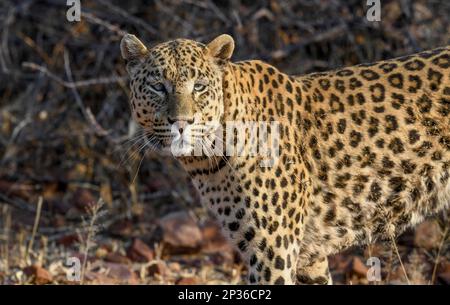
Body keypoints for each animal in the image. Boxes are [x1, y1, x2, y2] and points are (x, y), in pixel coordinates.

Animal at [119, 33, 450, 282]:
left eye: (198, 86)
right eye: (157, 87)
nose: (181, 122)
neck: (206, 159)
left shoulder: (273, 252)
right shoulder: (308, 257)